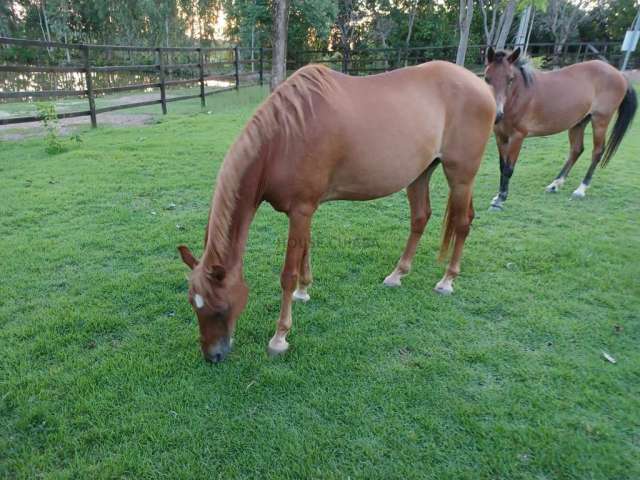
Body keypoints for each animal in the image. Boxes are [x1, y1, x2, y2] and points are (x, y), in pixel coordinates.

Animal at [176, 64, 496, 364]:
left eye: (220, 308)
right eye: (193, 304)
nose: (213, 356)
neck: (283, 138)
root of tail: (483, 86)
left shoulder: (301, 210)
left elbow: (288, 273)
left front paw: (280, 337)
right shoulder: (305, 210)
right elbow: (305, 252)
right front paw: (304, 291)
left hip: (461, 176)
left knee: (462, 223)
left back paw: (447, 280)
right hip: (420, 173)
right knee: (420, 218)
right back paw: (397, 274)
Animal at [488, 47, 636, 210]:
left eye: (510, 79)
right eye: (487, 79)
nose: (497, 114)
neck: (519, 96)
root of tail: (619, 74)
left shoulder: (517, 137)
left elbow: (508, 169)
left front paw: (501, 199)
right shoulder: (500, 136)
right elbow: (502, 166)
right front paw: (498, 196)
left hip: (600, 121)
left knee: (597, 152)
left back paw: (580, 190)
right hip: (578, 123)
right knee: (577, 150)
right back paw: (555, 184)